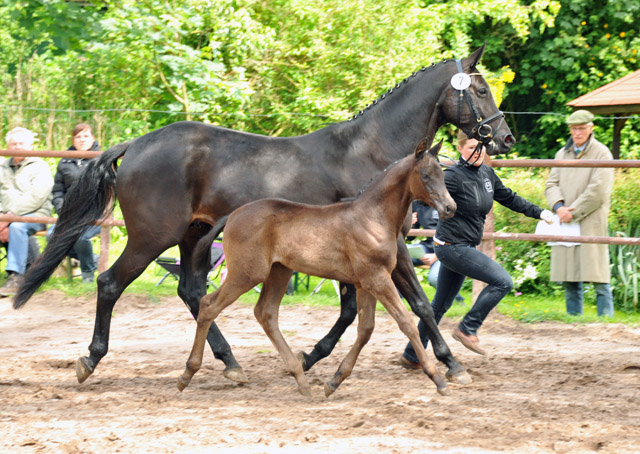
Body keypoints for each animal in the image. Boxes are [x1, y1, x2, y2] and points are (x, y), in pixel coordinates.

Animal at [179, 139, 456, 398]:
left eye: (443, 175)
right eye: (425, 175)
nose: (450, 208)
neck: (372, 218)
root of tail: (233, 215)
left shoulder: (364, 283)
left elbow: (365, 330)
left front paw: (334, 381)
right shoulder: (377, 278)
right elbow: (405, 322)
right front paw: (438, 379)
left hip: (279, 272)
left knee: (265, 313)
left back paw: (300, 378)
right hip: (246, 274)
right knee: (208, 305)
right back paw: (189, 373)